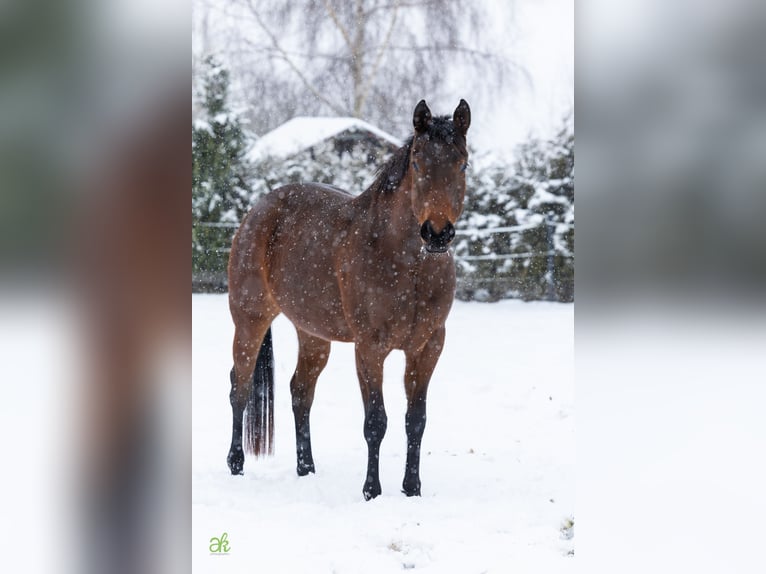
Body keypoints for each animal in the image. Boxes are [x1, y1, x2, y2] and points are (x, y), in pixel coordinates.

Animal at [226, 99, 471, 500]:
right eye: (418, 162)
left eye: (462, 163)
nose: (437, 233)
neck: (406, 264)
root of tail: (259, 209)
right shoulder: (370, 348)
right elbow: (376, 421)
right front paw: (372, 490)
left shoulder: (428, 347)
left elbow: (415, 420)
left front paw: (412, 489)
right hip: (250, 319)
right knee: (240, 387)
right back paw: (236, 464)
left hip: (313, 334)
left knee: (300, 391)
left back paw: (306, 468)